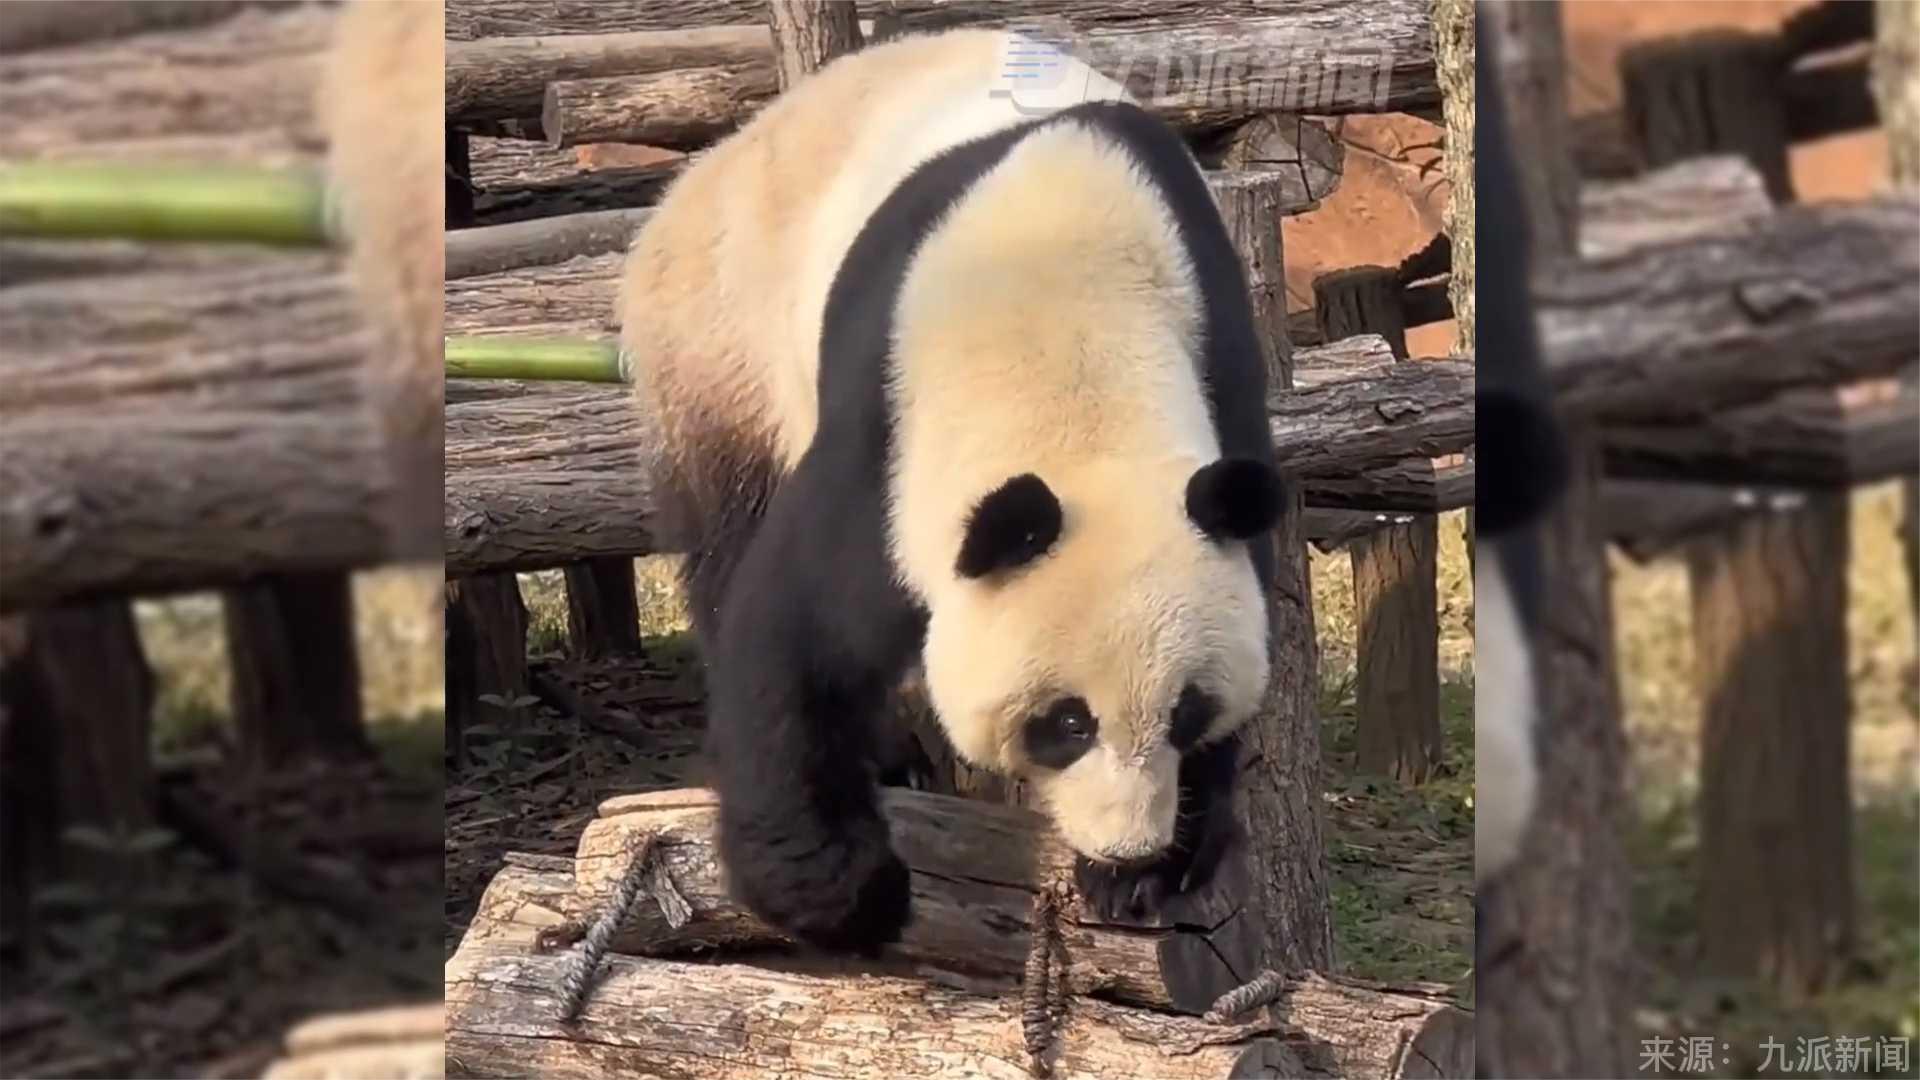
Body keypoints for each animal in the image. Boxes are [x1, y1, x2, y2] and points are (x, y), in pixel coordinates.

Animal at [622, 27, 1290, 949]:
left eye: (1186, 711)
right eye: (1066, 723)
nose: (1126, 843)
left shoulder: (1218, 369)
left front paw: (1156, 872)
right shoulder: (884, 440)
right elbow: (789, 630)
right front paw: (845, 895)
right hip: (721, 345)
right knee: (727, 538)